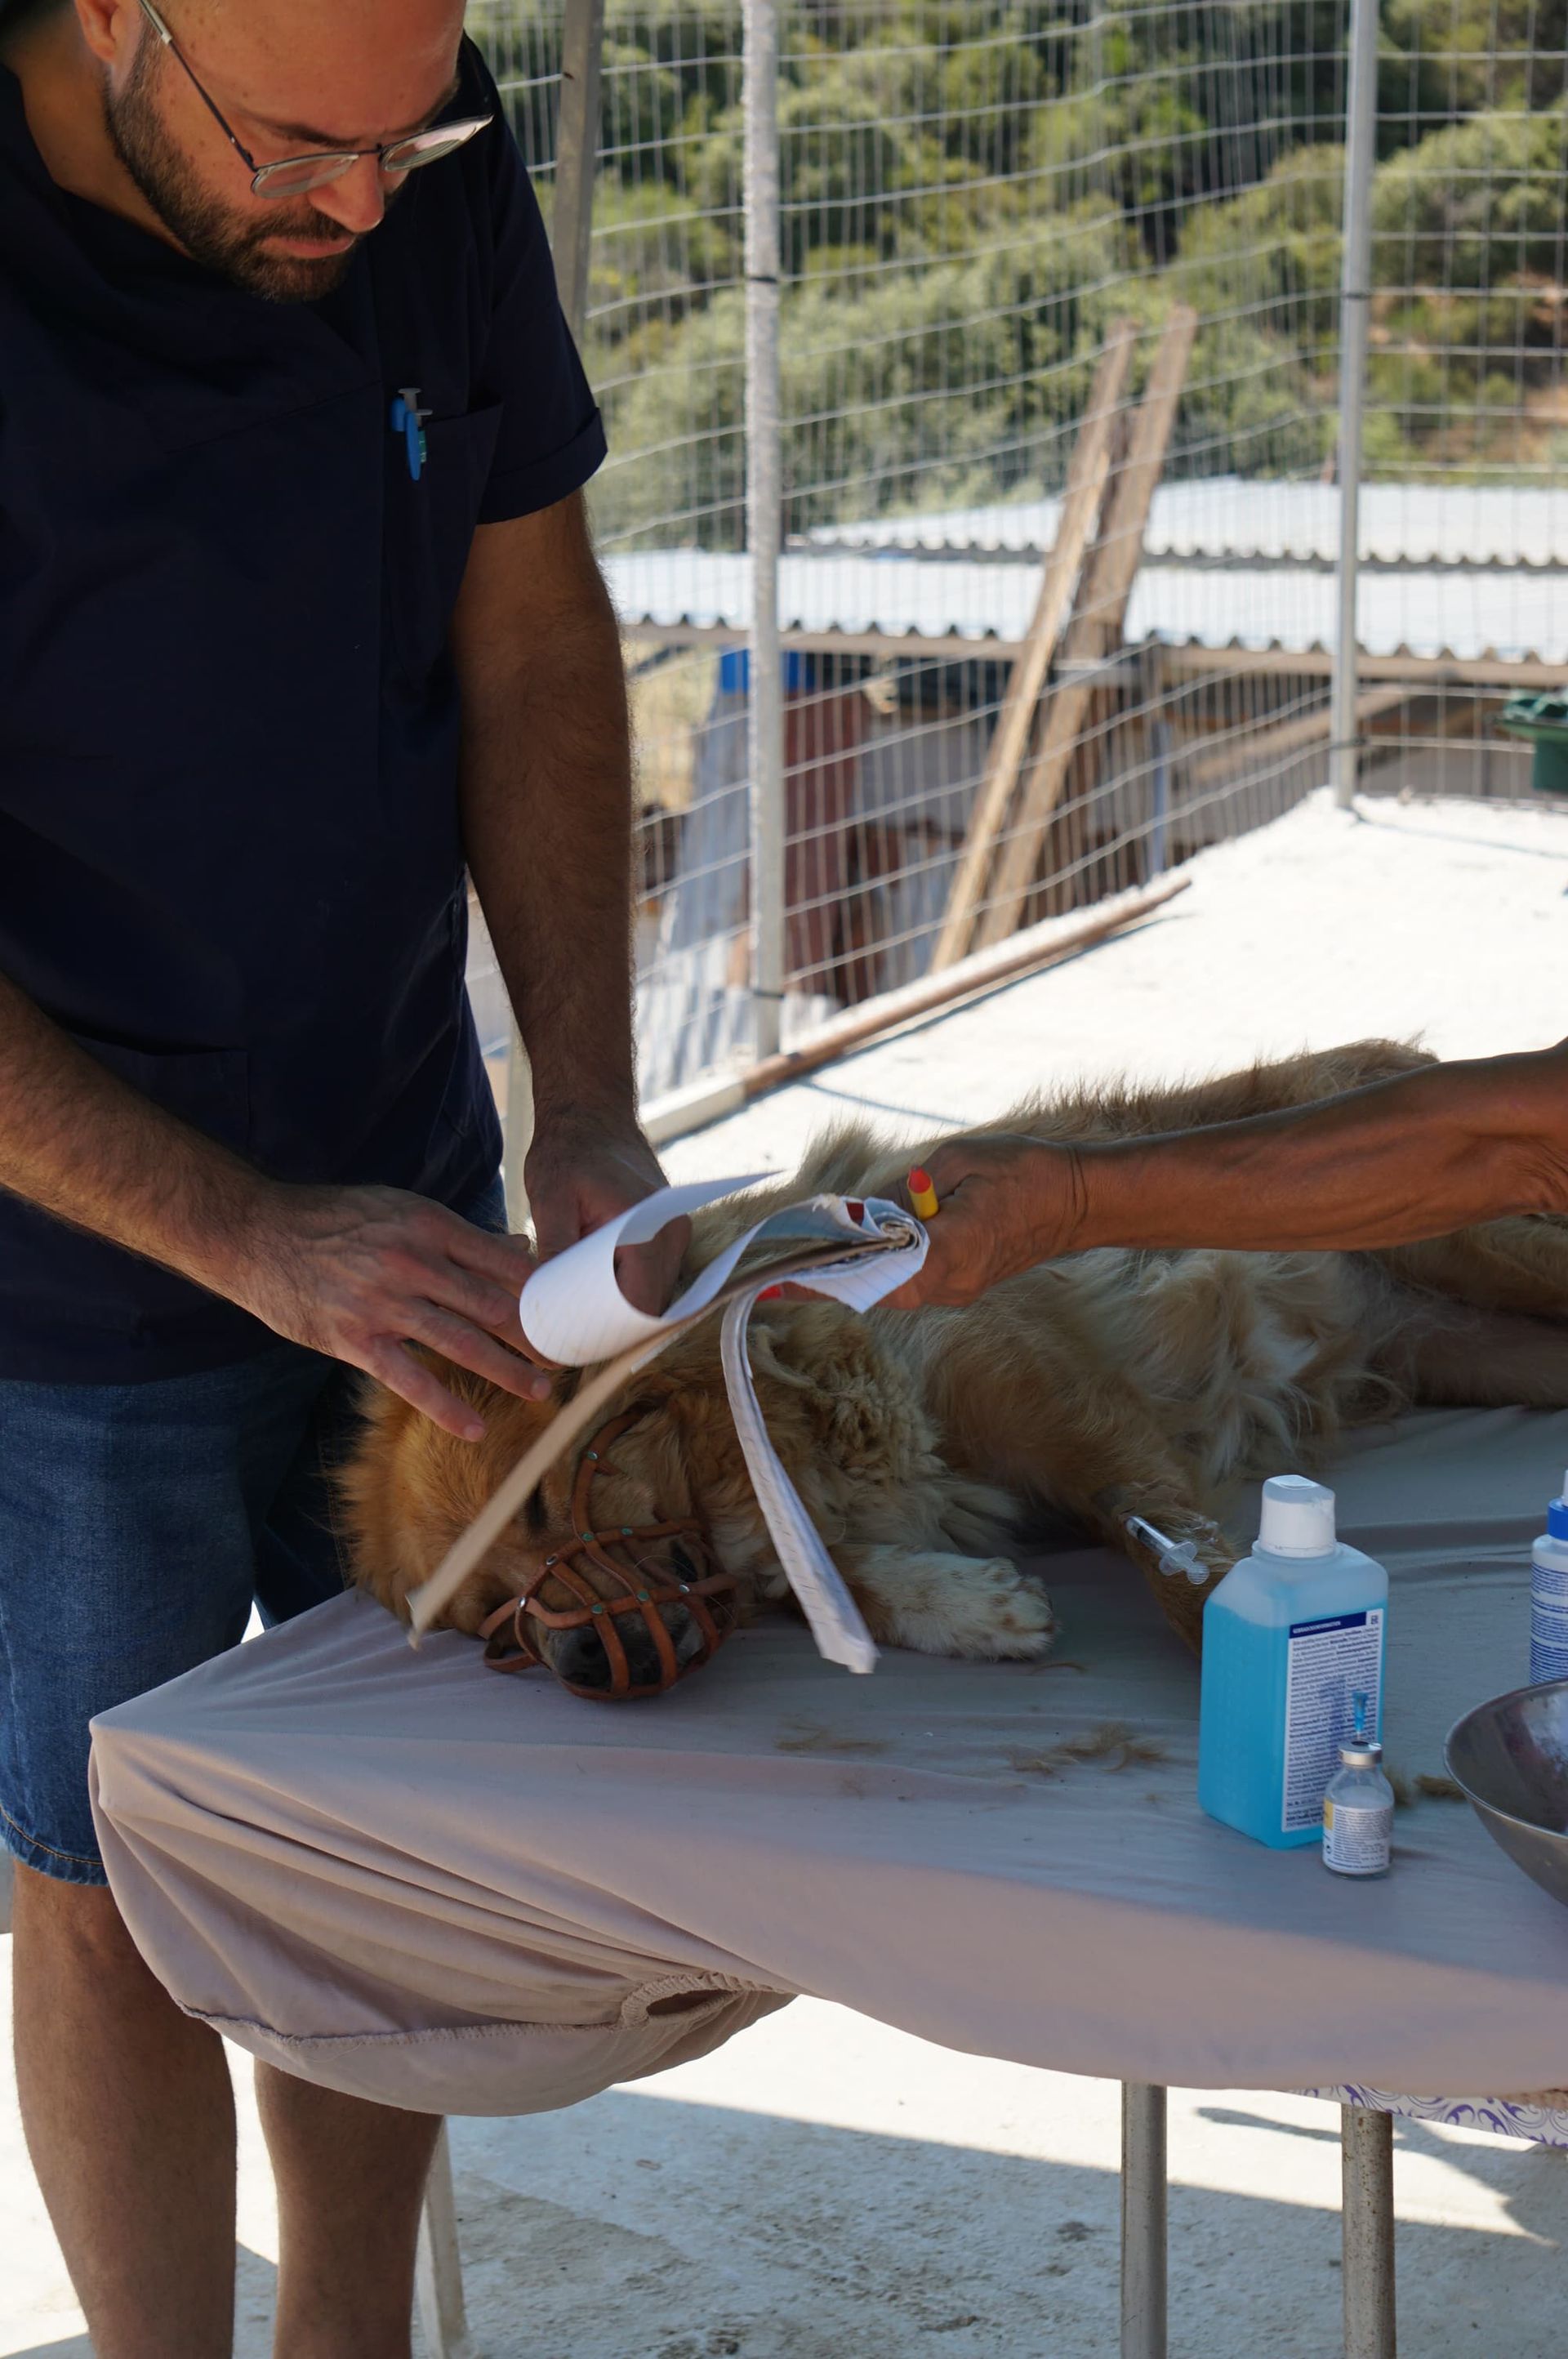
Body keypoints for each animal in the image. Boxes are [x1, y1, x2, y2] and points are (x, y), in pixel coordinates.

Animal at [341, 1040, 1568, 1688]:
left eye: (549, 1502)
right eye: (491, 1619)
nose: (590, 1671)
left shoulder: (1043, 1387)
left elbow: (1171, 1554)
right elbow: (829, 1575)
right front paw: (966, 1607)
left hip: (1493, 1247)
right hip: (1486, 1352)